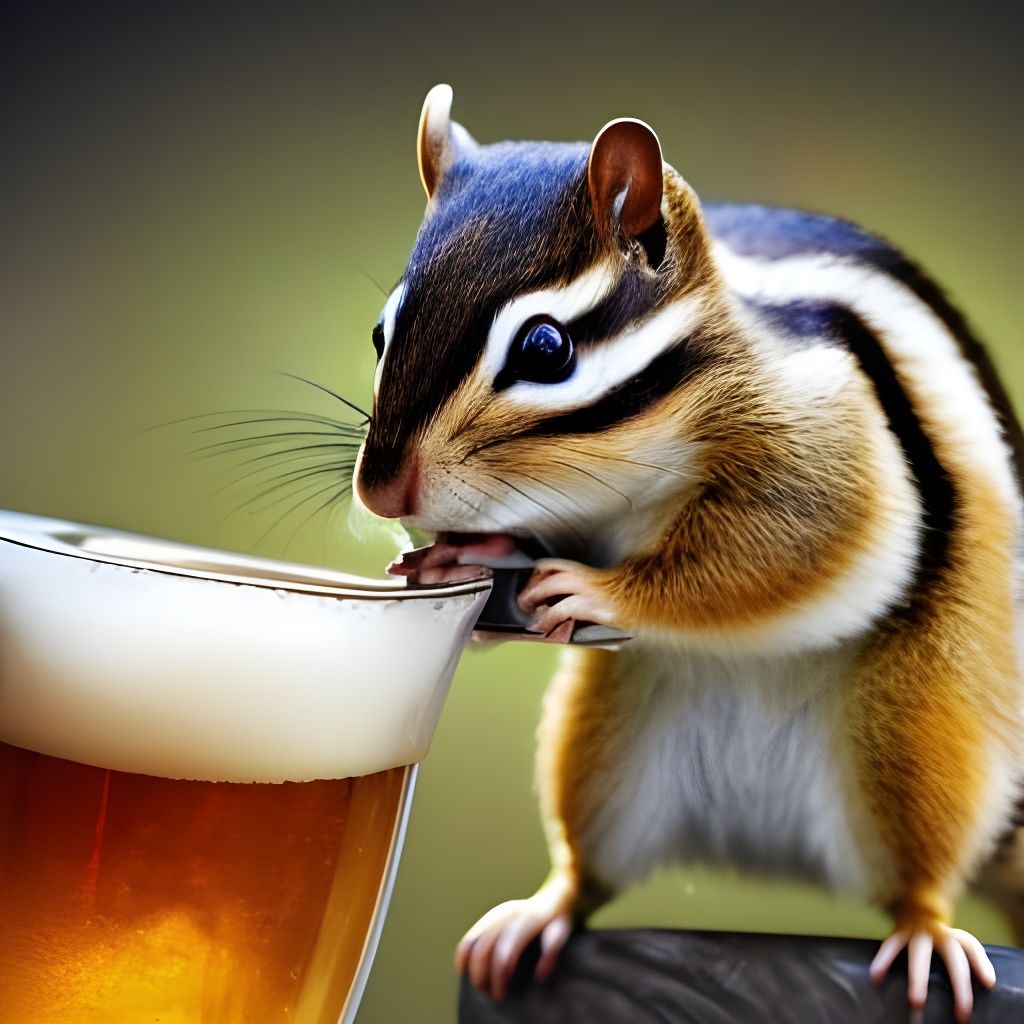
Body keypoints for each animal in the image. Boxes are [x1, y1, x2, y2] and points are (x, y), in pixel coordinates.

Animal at [354, 84, 1024, 1022]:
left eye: (545, 348)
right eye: (382, 334)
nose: (383, 494)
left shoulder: (829, 444)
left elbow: (798, 542)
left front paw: (598, 592)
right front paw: (457, 561)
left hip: (919, 729)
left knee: (919, 872)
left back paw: (927, 934)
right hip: (603, 749)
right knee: (589, 872)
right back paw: (537, 916)